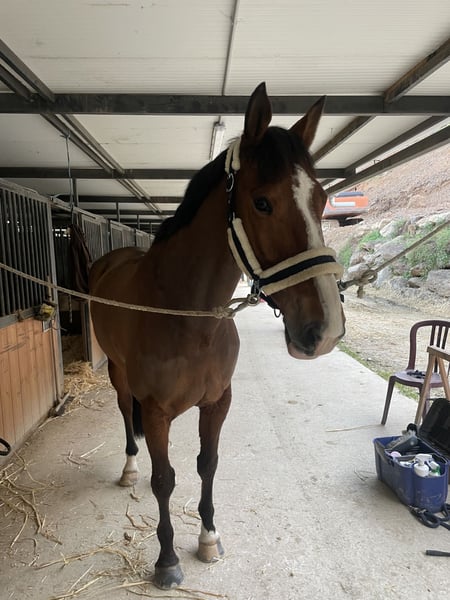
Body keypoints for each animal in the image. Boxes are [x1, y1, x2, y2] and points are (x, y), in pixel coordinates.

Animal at [88, 82, 345, 589]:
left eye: (322, 199)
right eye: (262, 202)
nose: (325, 329)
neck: (188, 319)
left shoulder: (217, 402)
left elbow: (208, 464)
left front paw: (208, 537)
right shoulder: (157, 413)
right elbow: (164, 480)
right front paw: (167, 561)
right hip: (117, 372)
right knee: (126, 413)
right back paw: (128, 466)